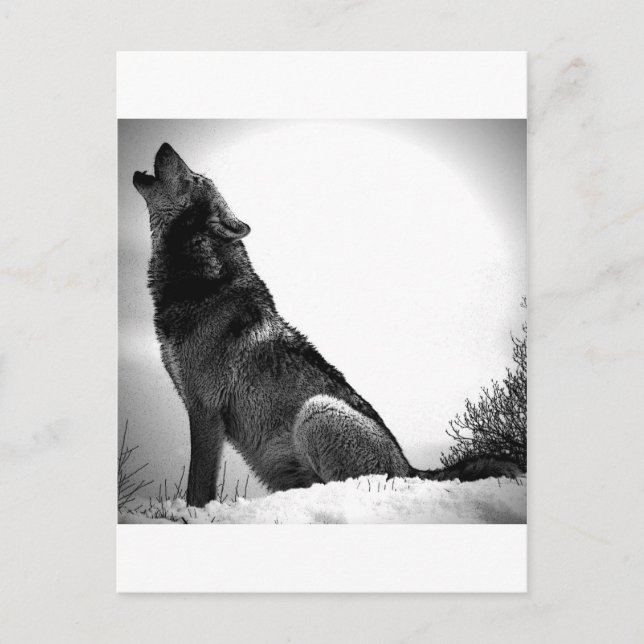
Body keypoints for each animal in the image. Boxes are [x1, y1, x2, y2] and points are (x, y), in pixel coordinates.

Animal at [133, 143, 523, 507]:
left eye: (194, 178)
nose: (165, 145)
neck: (201, 283)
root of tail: (411, 470)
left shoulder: (205, 411)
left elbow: (197, 488)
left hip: (316, 410)